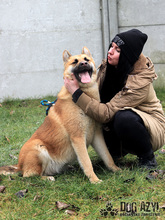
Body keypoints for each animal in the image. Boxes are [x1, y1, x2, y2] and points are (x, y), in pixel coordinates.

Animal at [0, 47, 120, 183]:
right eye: (75, 62)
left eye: (86, 59)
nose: (84, 64)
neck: (84, 96)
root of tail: (19, 166)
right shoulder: (78, 137)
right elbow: (87, 162)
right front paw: (94, 180)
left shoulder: (97, 136)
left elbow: (107, 156)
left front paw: (116, 170)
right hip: (38, 147)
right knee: (29, 175)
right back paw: (47, 178)